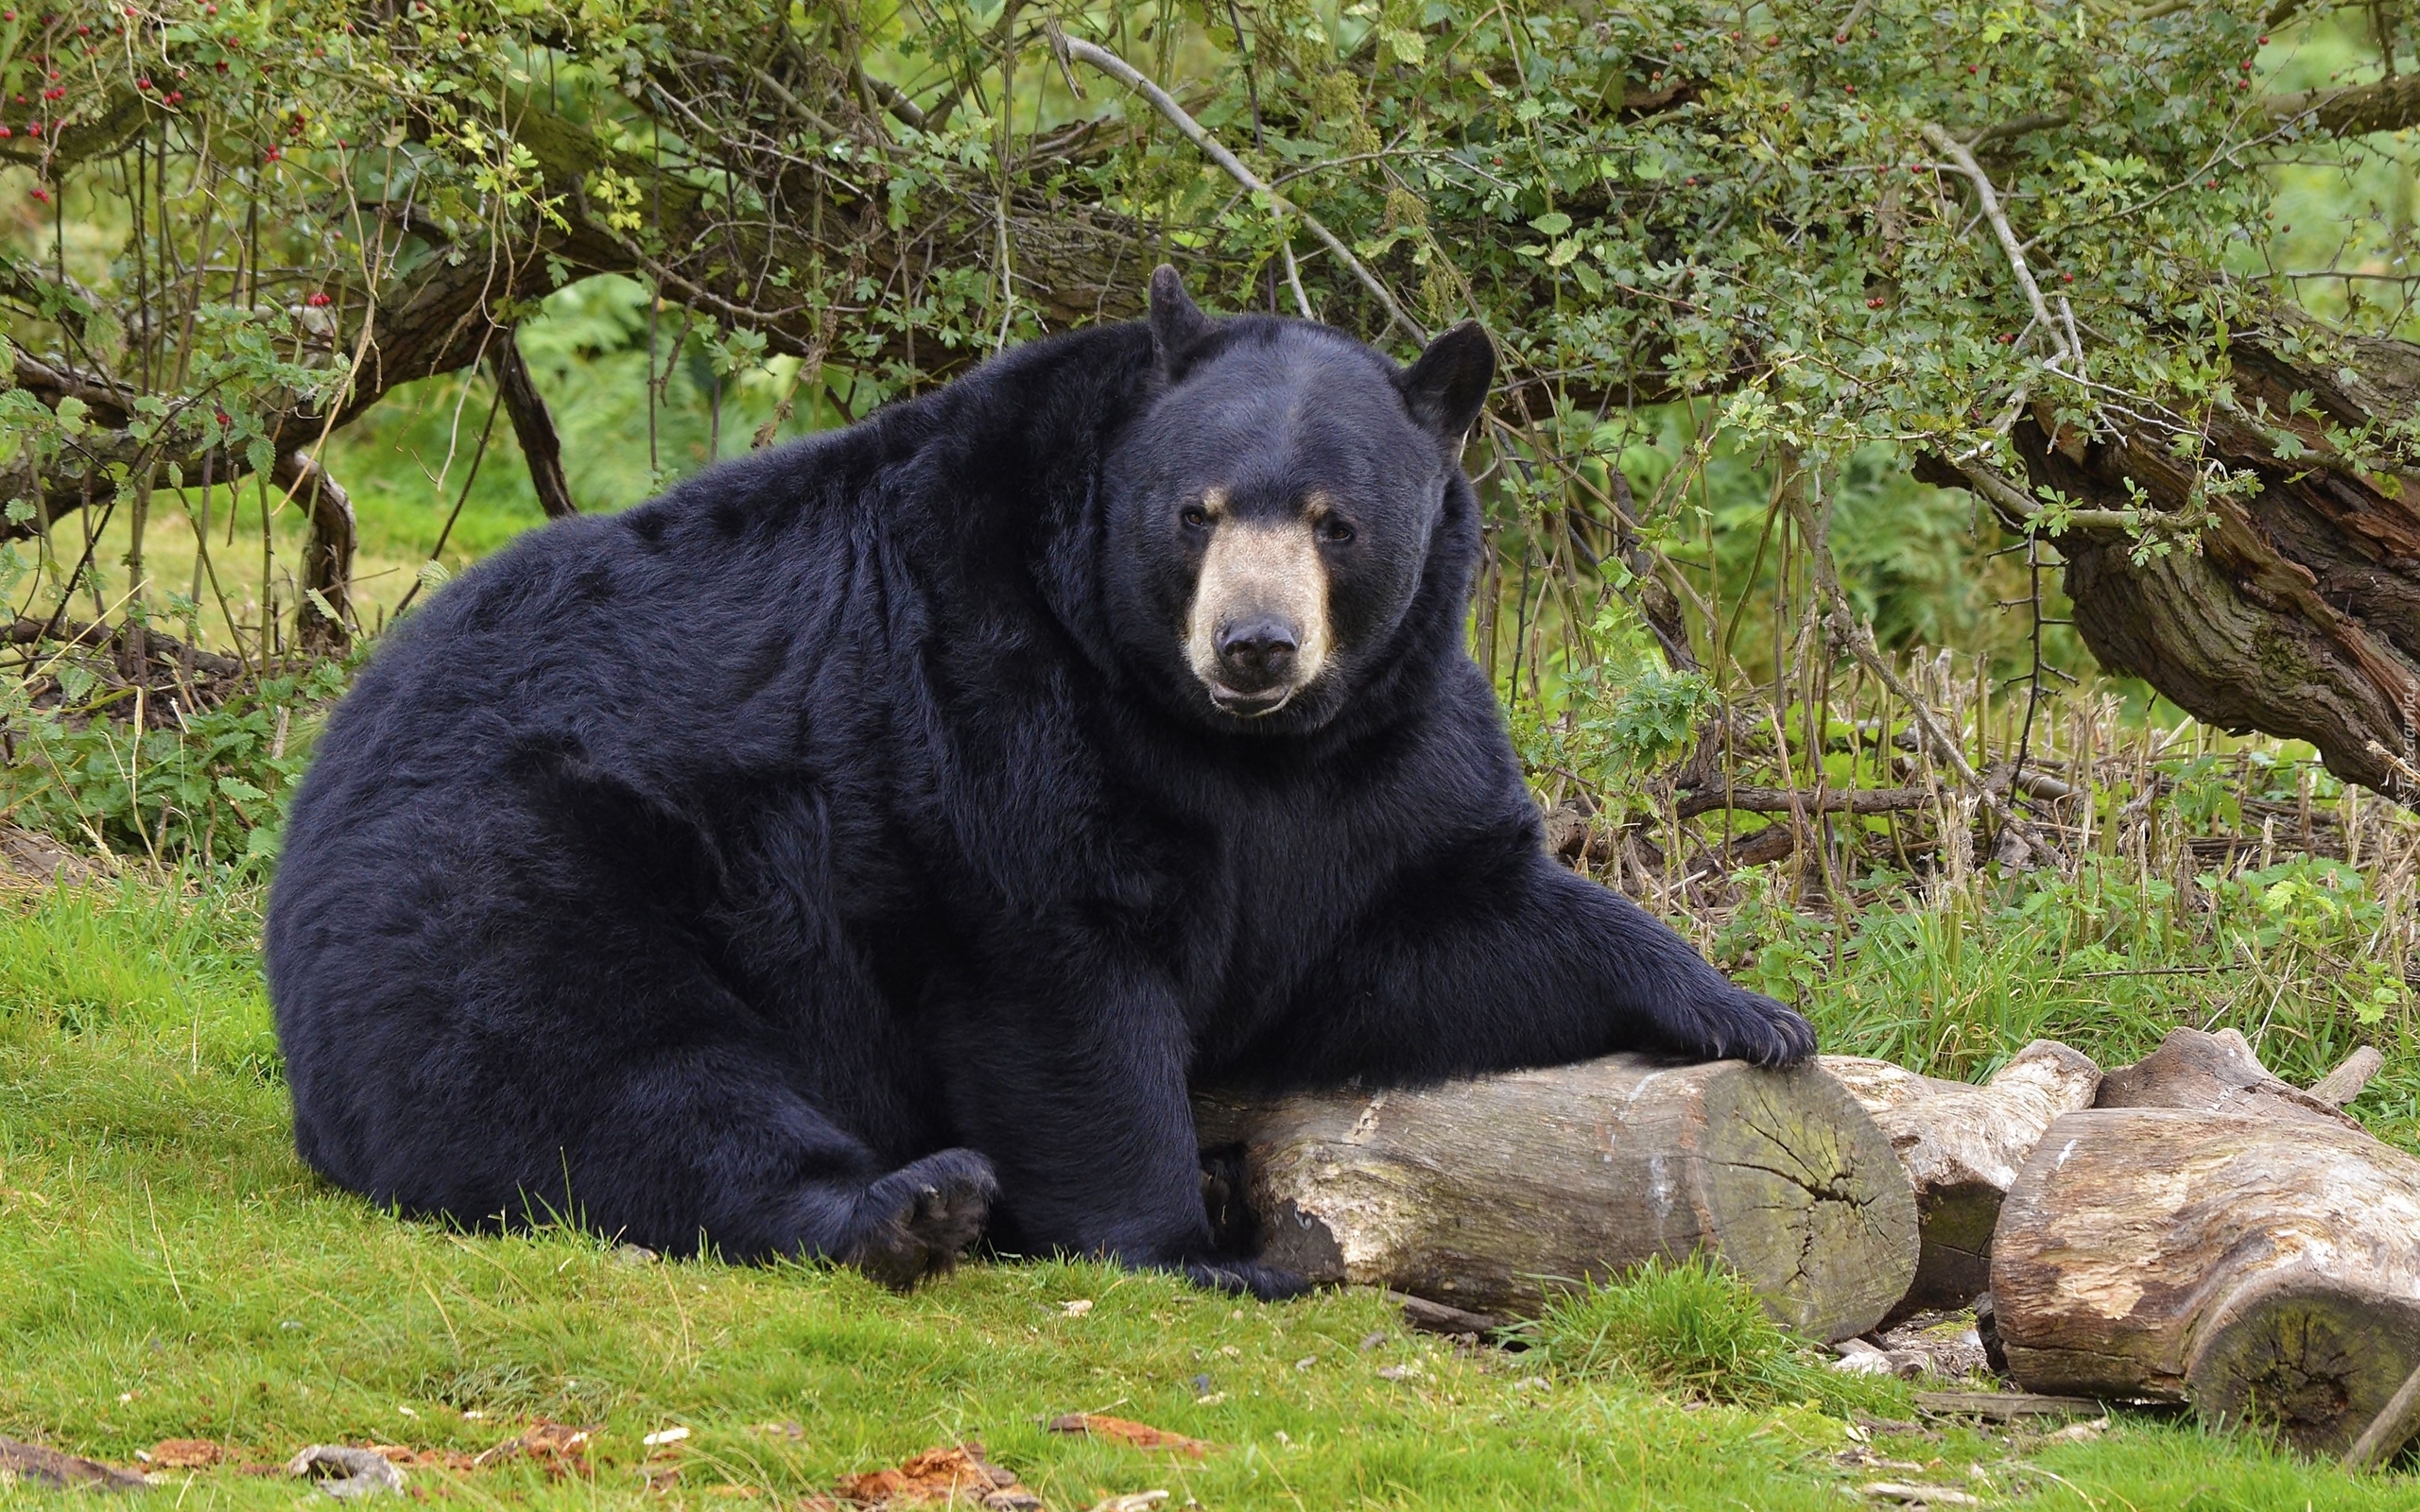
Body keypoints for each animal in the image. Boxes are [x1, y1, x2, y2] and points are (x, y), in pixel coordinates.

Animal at [269, 265, 1820, 1286]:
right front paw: (1190, 1247)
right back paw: (908, 1207)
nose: (1255, 645)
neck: (1229, 745)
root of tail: (334, 759)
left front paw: (1746, 1012)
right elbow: (1059, 977)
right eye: (1195, 511)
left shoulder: (1373, 761)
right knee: (595, 1062)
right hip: (522, 856)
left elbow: (1416, 931)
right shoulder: (988, 691)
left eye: (1338, 521)